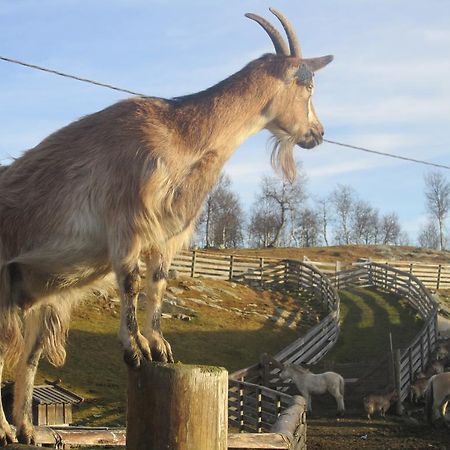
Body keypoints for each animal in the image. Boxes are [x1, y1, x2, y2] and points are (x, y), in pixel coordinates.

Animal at [0, 8, 332, 444]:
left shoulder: (168, 234)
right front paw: (135, 349)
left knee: (29, 356)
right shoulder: (126, 220)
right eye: (306, 83)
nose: (318, 133)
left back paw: (25, 429)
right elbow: (130, 283)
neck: (184, 136)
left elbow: (157, 285)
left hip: (38, 296)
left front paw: (159, 346)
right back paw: (6, 429)